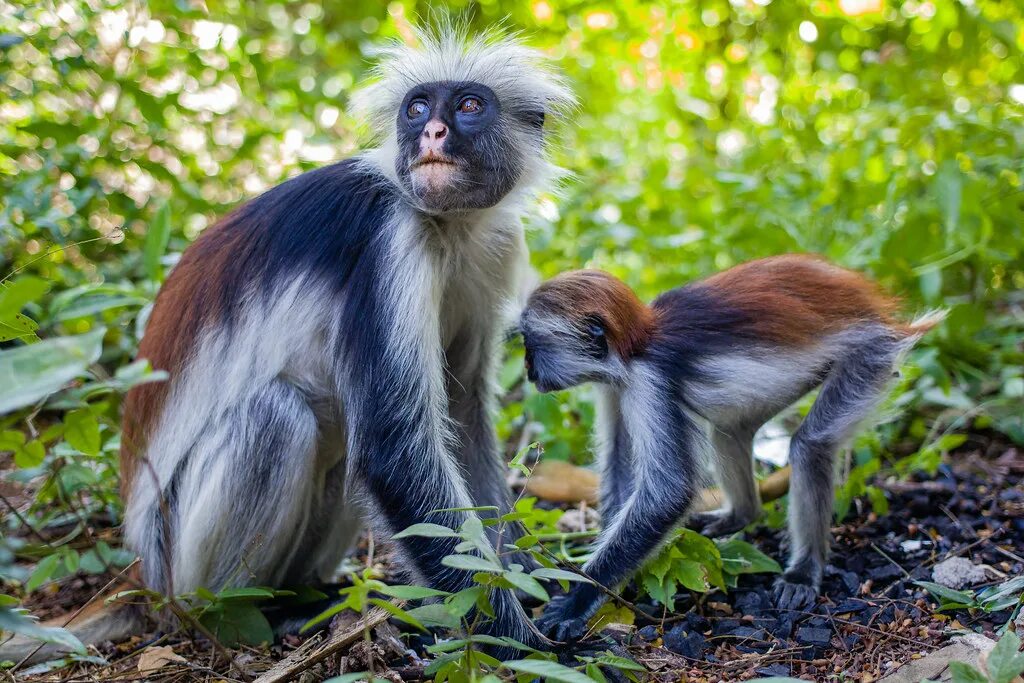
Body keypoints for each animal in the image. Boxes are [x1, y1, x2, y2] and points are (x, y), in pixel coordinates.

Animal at [117, 28, 577, 651]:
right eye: (417, 108)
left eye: (468, 105)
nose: (433, 132)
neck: (450, 226)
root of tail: (147, 574)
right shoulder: (392, 237)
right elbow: (390, 446)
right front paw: (516, 640)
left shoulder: (497, 245)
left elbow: (460, 422)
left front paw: (525, 577)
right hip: (175, 557)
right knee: (278, 415)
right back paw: (245, 614)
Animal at [520, 254, 942, 643]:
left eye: (532, 345)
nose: (527, 371)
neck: (638, 343)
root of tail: (871, 307)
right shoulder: (615, 383)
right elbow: (620, 468)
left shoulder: (649, 378)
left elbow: (668, 493)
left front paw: (579, 600)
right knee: (728, 431)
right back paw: (739, 515)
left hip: (868, 358)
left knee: (809, 445)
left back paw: (802, 570)